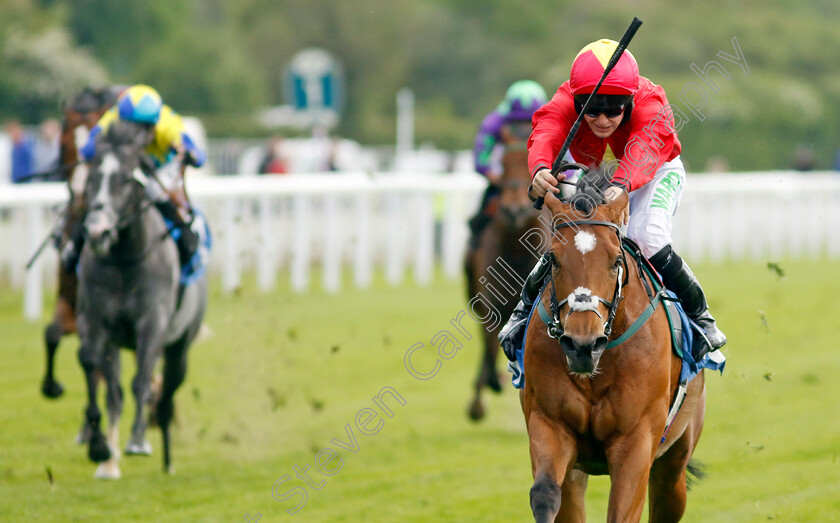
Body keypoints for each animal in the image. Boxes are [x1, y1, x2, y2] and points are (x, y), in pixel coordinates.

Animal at [76, 119, 208, 478]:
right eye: (92, 178)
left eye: (125, 178)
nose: (97, 231)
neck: (124, 260)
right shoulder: (97, 323)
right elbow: (95, 370)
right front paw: (99, 447)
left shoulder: (152, 323)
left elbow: (142, 383)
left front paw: (137, 441)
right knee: (116, 392)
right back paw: (109, 461)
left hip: (180, 348)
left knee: (164, 396)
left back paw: (167, 460)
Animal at [462, 119, 548, 422]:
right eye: (503, 164)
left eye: (528, 163)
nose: (513, 210)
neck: (516, 248)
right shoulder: (491, 302)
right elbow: (489, 343)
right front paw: (485, 390)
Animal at [524, 179, 708, 520]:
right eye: (553, 259)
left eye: (616, 261)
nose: (582, 345)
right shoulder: (549, 422)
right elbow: (544, 494)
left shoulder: (636, 440)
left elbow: (622, 512)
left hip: (675, 455)